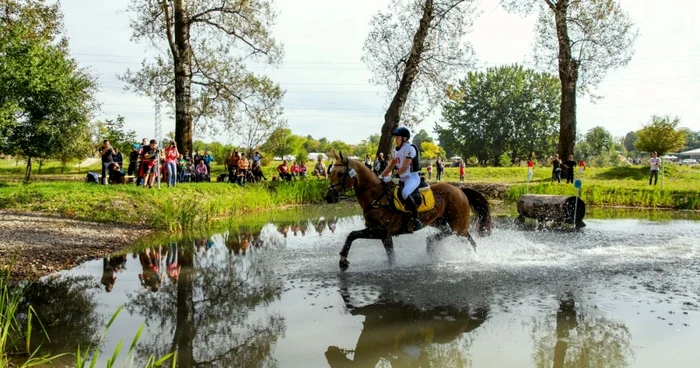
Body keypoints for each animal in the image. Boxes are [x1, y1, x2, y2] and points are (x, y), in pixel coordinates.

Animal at [324, 152, 492, 270]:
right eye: (330, 172)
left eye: (340, 173)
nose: (328, 197)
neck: (376, 196)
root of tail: (460, 190)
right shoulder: (381, 234)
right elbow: (387, 253)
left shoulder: (381, 232)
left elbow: (353, 235)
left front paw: (343, 260)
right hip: (438, 221)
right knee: (446, 232)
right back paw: (431, 243)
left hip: (458, 224)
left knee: (470, 240)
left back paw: (474, 258)